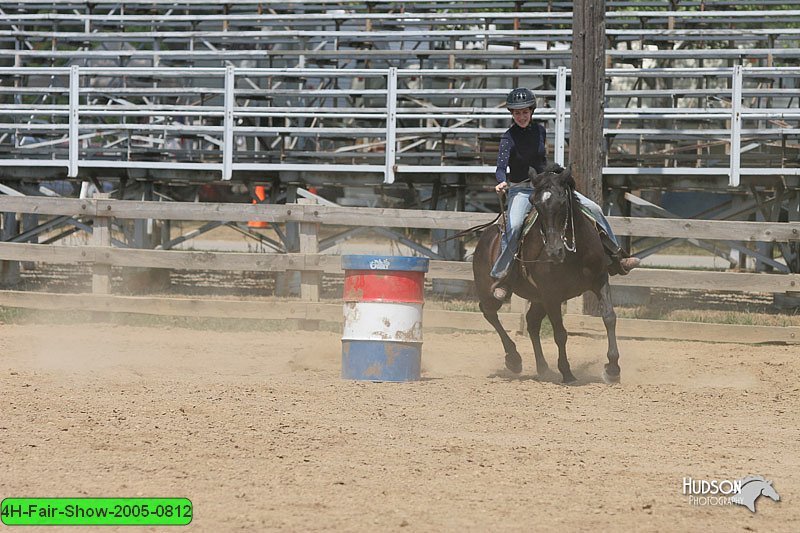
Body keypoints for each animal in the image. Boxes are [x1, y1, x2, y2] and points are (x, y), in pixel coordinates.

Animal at [472, 162, 620, 382]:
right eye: (535, 203)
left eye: (562, 202)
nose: (553, 251)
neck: (574, 252)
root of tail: (485, 237)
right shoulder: (552, 295)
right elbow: (560, 333)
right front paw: (567, 372)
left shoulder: (599, 280)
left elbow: (609, 317)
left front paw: (612, 369)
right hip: (491, 291)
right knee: (489, 312)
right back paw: (514, 359)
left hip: (538, 298)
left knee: (532, 322)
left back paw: (543, 367)